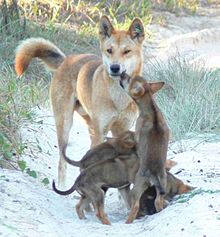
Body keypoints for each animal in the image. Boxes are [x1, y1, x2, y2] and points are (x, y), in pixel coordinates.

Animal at [121, 73, 169, 223]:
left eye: (128, 79)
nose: (122, 73)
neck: (151, 109)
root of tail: (153, 173)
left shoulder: (136, 134)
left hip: (136, 189)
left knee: (135, 206)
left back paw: (128, 222)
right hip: (163, 183)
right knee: (158, 202)